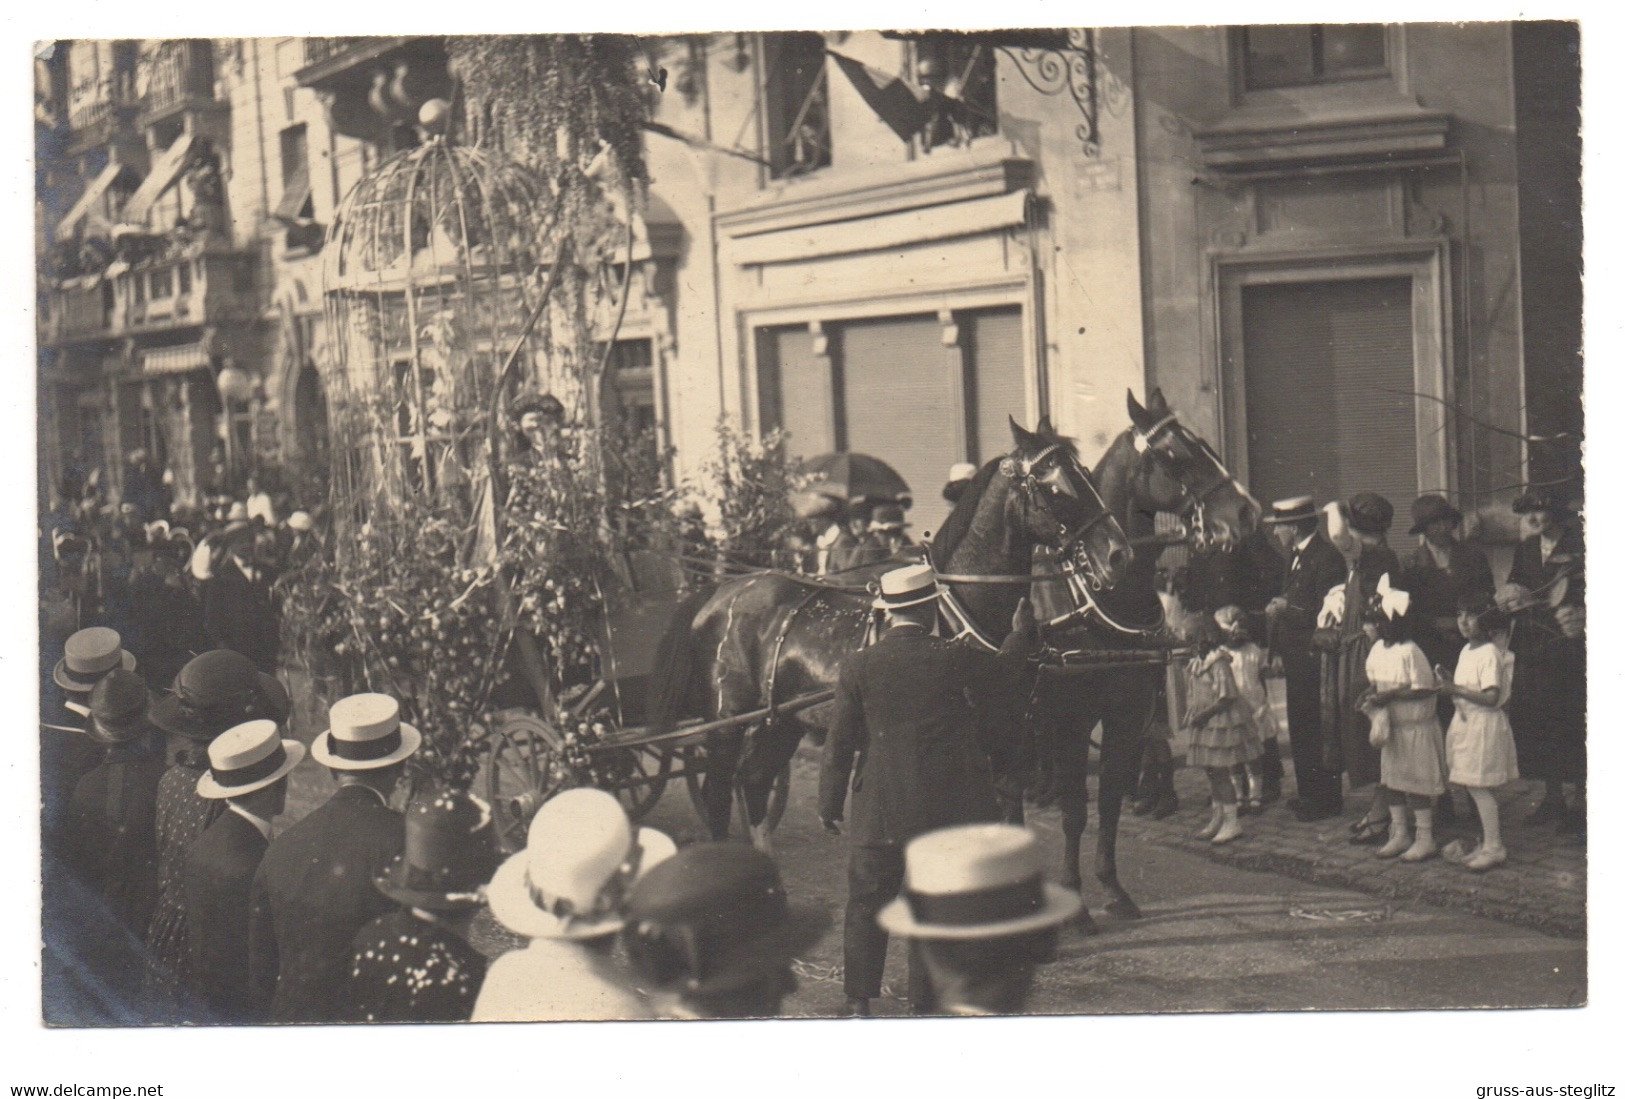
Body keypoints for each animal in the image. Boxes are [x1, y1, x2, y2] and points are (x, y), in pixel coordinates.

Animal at [643, 416, 1131, 845]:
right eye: (1054, 485)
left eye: (1086, 473)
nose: (1118, 553)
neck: (961, 609)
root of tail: (718, 593)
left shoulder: (1008, 740)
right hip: (726, 724)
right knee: (718, 796)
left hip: (779, 721)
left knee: (755, 782)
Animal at [1033, 386, 1261, 929]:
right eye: (1175, 454)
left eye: (1205, 444)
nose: (1246, 513)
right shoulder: (1070, 721)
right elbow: (1076, 810)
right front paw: (1074, 902)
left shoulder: (1127, 714)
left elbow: (1110, 802)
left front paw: (1113, 888)